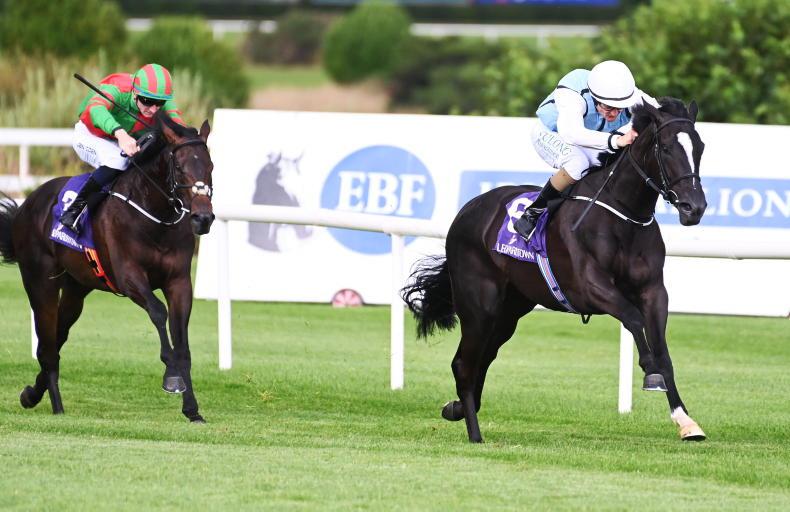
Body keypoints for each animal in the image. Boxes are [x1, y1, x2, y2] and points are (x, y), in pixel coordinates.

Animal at [0, 111, 214, 422]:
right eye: (179, 167)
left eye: (210, 166)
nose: (203, 218)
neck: (155, 218)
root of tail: (28, 204)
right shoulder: (129, 276)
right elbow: (158, 312)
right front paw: (172, 377)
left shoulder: (179, 282)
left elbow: (182, 344)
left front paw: (192, 409)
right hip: (40, 282)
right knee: (47, 345)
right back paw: (56, 405)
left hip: (76, 289)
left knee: (57, 337)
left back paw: (32, 394)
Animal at [402, 98, 708, 443]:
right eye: (666, 148)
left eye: (700, 147)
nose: (694, 208)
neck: (623, 216)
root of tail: (467, 209)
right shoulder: (589, 287)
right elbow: (633, 318)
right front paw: (651, 373)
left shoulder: (654, 291)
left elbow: (663, 351)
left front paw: (686, 421)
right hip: (479, 306)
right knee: (464, 364)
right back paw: (474, 433)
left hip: (509, 311)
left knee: (482, 358)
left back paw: (455, 408)